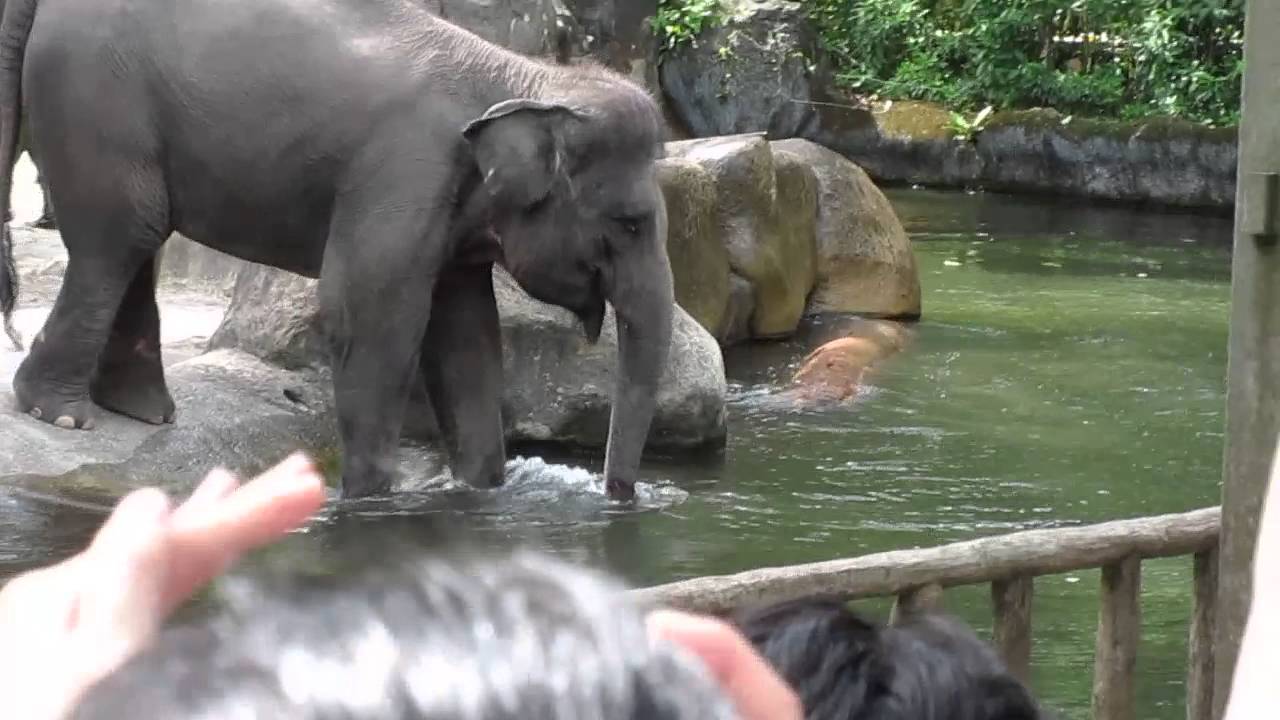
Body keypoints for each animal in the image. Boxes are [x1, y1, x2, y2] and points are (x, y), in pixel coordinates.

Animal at [0, 0, 675, 502]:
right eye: (631, 224)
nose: (621, 496)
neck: (521, 74)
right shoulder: (403, 172)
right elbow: (372, 312)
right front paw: (372, 495)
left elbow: (467, 337)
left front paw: (482, 487)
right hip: (97, 96)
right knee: (124, 233)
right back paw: (62, 415)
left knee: (144, 236)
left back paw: (142, 411)